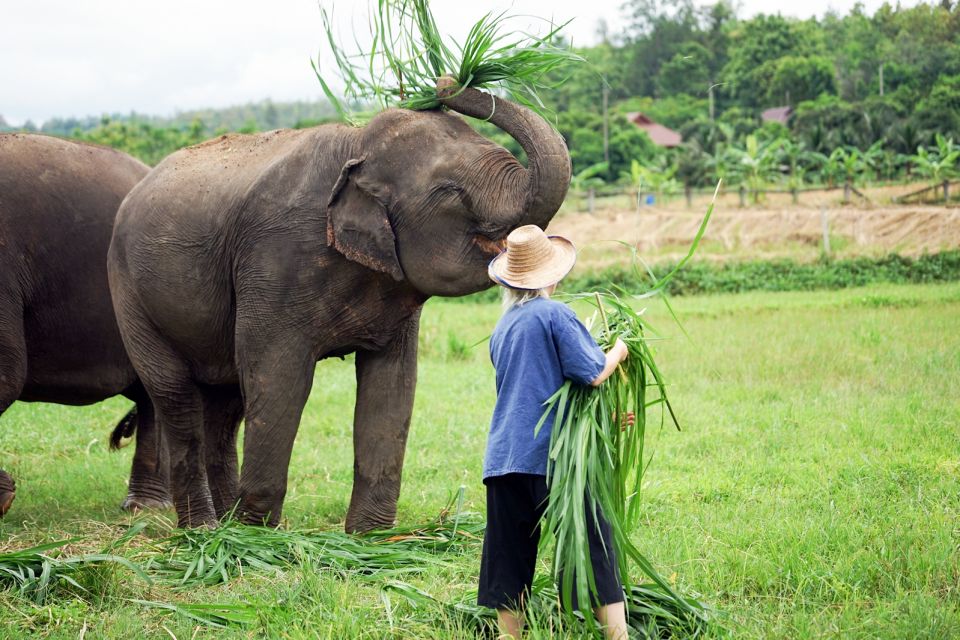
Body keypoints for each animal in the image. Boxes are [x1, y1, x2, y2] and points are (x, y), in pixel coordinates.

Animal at [107, 77, 568, 532]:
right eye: (450, 192)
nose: (445, 80)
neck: (356, 144)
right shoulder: (274, 261)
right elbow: (278, 378)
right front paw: (262, 535)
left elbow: (393, 384)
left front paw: (370, 538)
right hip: (130, 295)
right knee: (175, 395)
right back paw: (205, 530)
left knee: (225, 402)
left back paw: (226, 526)